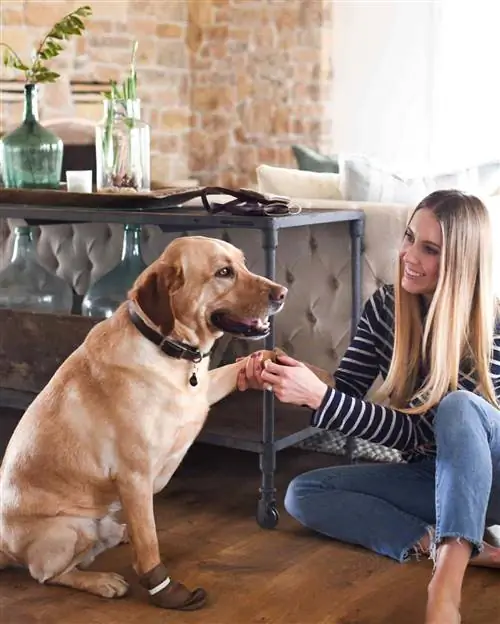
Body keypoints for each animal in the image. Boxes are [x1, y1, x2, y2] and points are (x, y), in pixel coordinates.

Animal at [0, 234, 288, 608]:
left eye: (243, 263)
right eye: (224, 273)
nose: (283, 293)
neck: (168, 346)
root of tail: (4, 547)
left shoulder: (202, 392)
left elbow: (236, 368)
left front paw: (267, 360)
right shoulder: (134, 477)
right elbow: (149, 541)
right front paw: (163, 589)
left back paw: (117, 535)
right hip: (72, 528)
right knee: (48, 574)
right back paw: (102, 580)